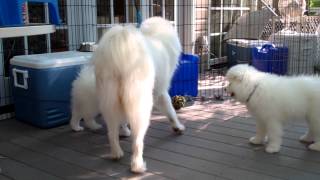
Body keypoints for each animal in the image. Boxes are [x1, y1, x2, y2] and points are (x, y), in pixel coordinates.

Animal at [92, 17, 185, 173]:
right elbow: (171, 111)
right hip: (140, 103)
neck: (157, 36)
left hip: (109, 99)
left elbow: (123, 120)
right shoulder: (161, 92)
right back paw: (137, 165)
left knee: (111, 132)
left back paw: (116, 153)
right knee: (137, 141)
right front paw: (177, 127)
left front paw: (124, 131)